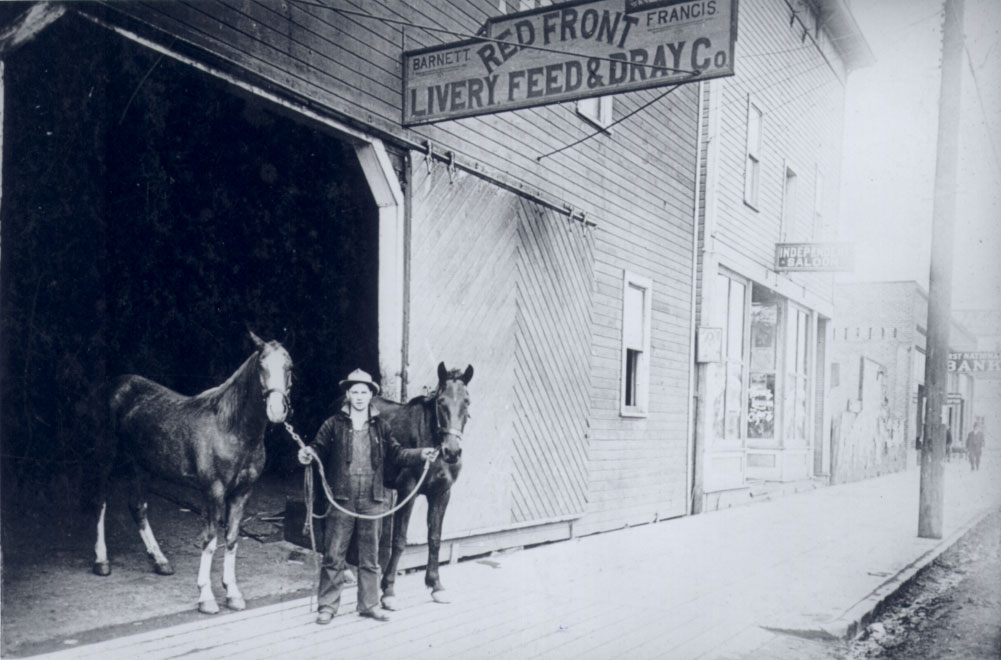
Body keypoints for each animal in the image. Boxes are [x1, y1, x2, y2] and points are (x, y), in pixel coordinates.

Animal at [92, 332, 292, 616]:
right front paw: (206, 597)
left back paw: (160, 561)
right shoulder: (213, 491)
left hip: (142, 466)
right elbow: (210, 539)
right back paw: (101, 561)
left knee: (138, 506)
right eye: (261, 365)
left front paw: (233, 593)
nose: (276, 411)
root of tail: (116, 384)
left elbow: (231, 537)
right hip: (107, 458)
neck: (230, 427)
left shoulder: (242, 492)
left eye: (289, 366)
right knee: (100, 501)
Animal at [376, 364, 472, 604]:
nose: (452, 451)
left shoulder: (441, 494)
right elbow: (399, 539)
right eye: (441, 402)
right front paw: (388, 589)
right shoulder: (407, 492)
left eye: (467, 401)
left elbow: (435, 537)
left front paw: (435, 585)